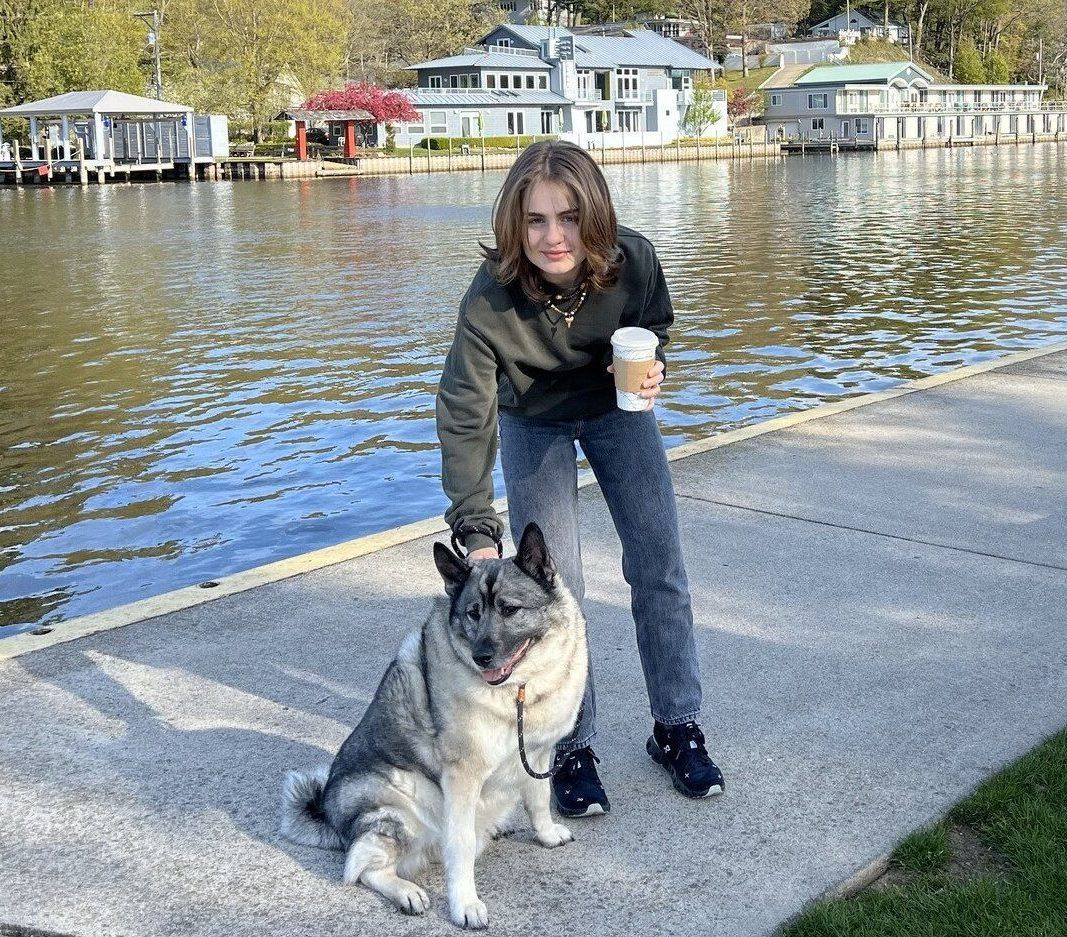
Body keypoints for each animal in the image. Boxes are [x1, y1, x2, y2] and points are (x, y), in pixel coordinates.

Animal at [279, 525, 588, 926]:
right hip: (401, 805)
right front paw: (464, 904)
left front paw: (547, 834)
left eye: (509, 609)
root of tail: (330, 817)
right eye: (472, 613)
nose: (482, 656)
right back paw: (406, 892)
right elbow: (460, 845)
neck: (518, 690)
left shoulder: (536, 755)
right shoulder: (461, 777)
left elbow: (538, 799)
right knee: (362, 868)